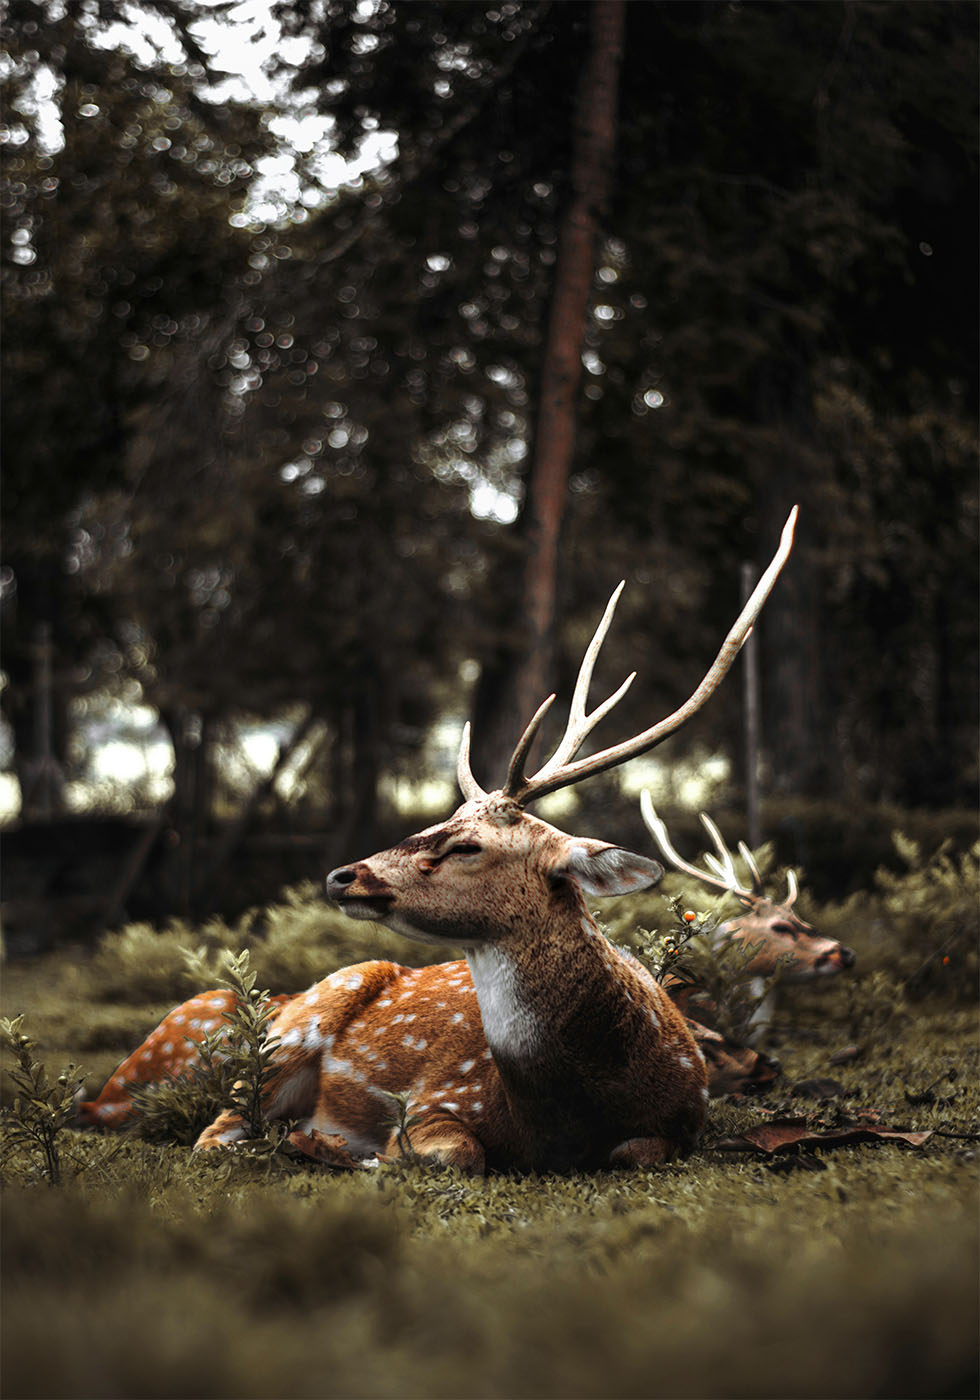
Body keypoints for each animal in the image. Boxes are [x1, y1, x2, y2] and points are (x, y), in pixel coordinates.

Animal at [80, 508, 798, 1172]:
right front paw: (358, 1150)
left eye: (469, 846)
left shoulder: (682, 1123)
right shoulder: (439, 1096)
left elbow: (634, 1152)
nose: (344, 875)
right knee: (215, 1133)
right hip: (291, 1030)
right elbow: (456, 1153)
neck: (567, 1114)